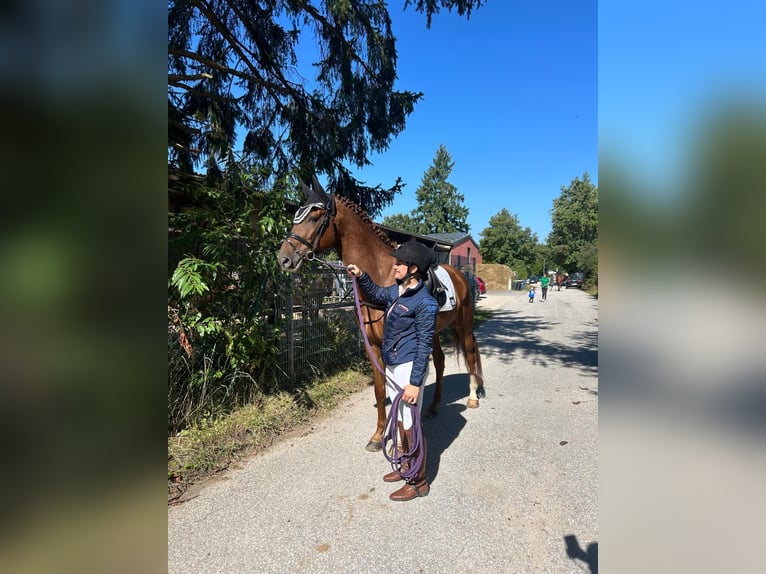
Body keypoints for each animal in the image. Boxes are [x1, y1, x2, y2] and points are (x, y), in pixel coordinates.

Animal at [278, 178, 486, 452]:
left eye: (314, 217)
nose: (284, 258)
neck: (382, 275)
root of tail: (461, 275)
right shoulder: (374, 347)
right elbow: (380, 389)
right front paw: (378, 436)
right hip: (434, 333)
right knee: (440, 362)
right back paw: (432, 407)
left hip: (463, 325)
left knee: (471, 355)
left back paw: (472, 397)